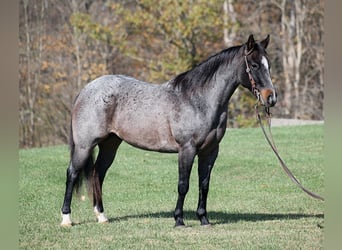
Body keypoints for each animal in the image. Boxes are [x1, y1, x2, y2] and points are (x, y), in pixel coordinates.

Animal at [60, 34, 276, 228]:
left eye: (269, 65)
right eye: (254, 65)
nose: (271, 98)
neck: (199, 99)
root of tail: (86, 90)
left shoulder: (210, 151)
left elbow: (204, 184)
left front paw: (204, 219)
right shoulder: (187, 149)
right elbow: (183, 185)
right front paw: (179, 220)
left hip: (110, 145)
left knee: (98, 174)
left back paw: (101, 216)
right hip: (84, 146)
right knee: (72, 173)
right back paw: (66, 219)